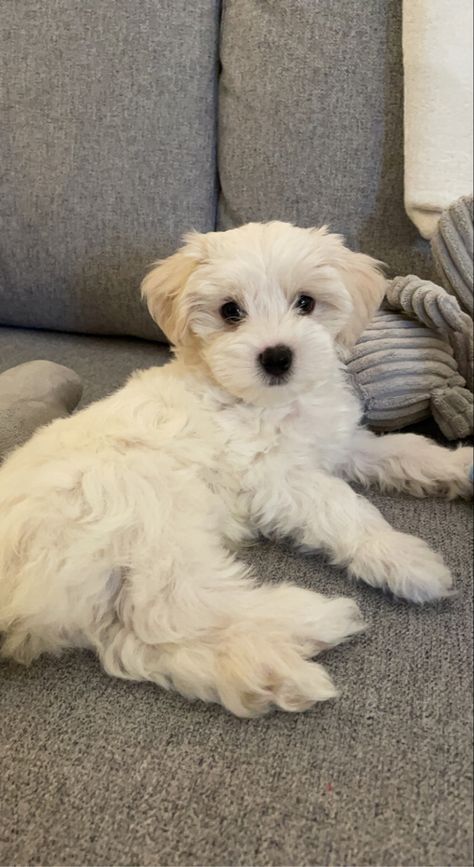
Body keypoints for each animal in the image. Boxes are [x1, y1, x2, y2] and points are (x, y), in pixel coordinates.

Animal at [0, 224, 470, 720]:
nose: (277, 357)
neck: (267, 402)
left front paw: (458, 466)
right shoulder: (278, 479)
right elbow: (342, 507)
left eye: (306, 302)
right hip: (149, 513)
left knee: (143, 641)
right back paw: (313, 620)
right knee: (177, 607)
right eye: (230, 311)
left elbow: (403, 450)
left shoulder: (339, 444)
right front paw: (405, 558)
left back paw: (268, 671)